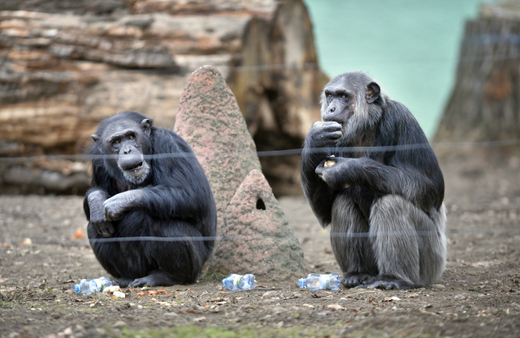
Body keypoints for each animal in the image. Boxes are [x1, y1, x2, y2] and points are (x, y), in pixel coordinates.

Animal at [84, 111, 217, 288]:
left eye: (131, 136)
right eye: (116, 142)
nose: (127, 150)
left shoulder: (168, 144)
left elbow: (193, 195)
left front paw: (120, 201)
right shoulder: (98, 161)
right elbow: (96, 189)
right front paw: (97, 203)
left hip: (196, 264)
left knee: (165, 224)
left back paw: (166, 277)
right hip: (137, 267)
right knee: (94, 227)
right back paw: (126, 277)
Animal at [300, 70, 446, 288]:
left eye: (343, 96)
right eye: (330, 96)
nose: (332, 107)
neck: (365, 127)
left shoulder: (404, 121)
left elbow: (430, 187)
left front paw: (347, 168)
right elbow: (324, 212)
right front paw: (315, 139)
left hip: (432, 263)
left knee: (391, 204)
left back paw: (393, 278)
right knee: (342, 203)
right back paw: (358, 274)